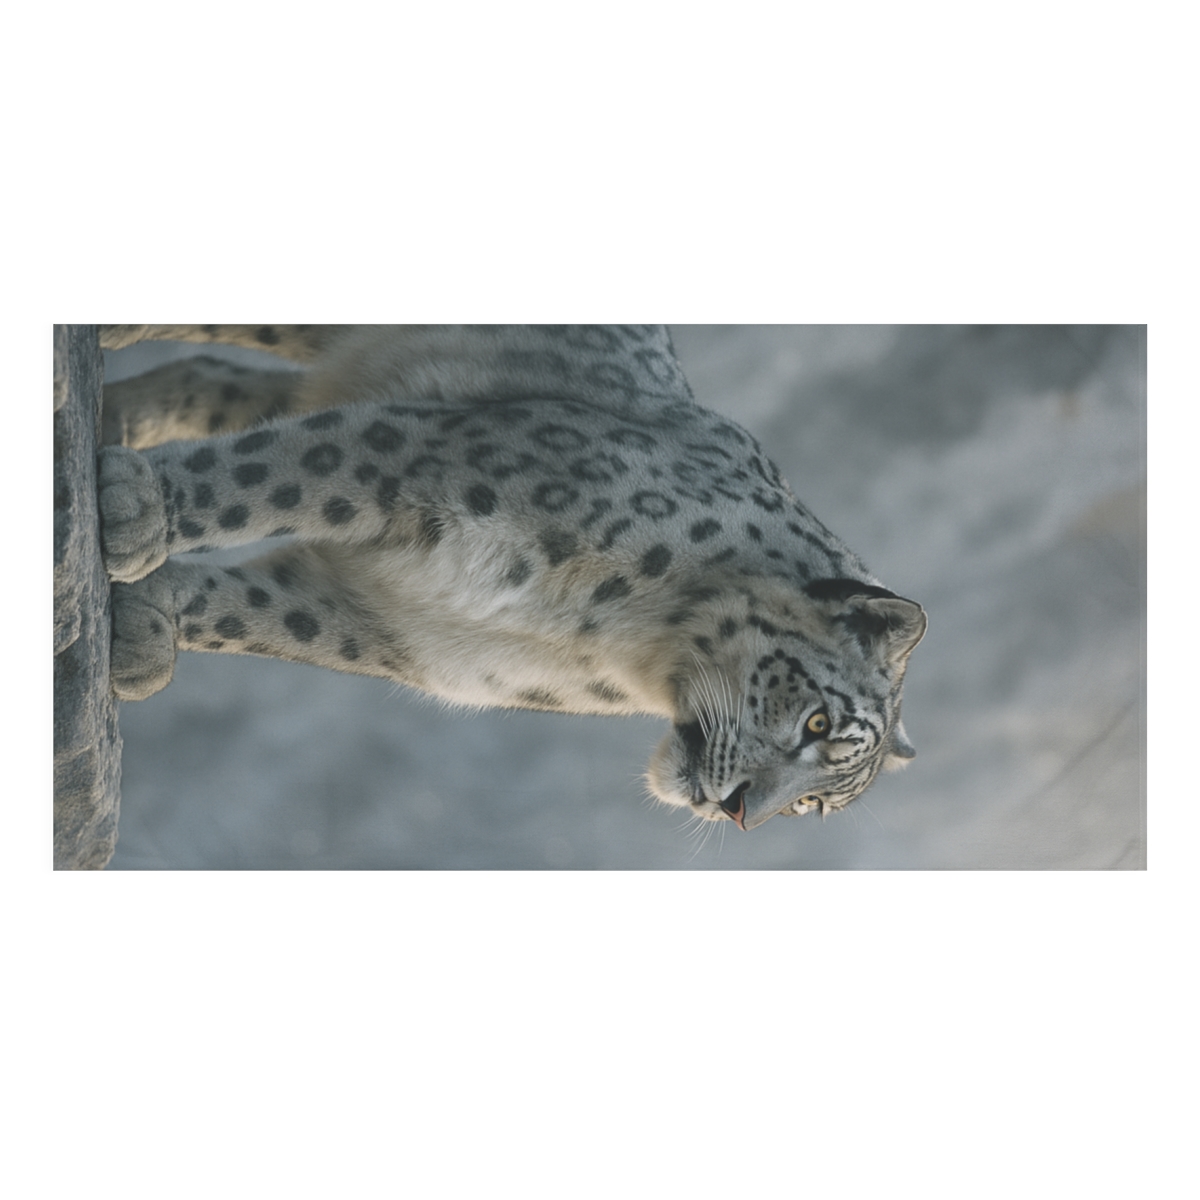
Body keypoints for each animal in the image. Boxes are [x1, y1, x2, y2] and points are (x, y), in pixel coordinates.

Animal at [97, 324, 926, 832]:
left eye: (814, 808)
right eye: (816, 722)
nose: (740, 810)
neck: (596, 637)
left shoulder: (387, 626)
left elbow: (260, 618)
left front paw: (143, 629)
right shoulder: (423, 456)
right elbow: (260, 476)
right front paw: (133, 509)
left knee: (225, 378)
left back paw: (125, 415)